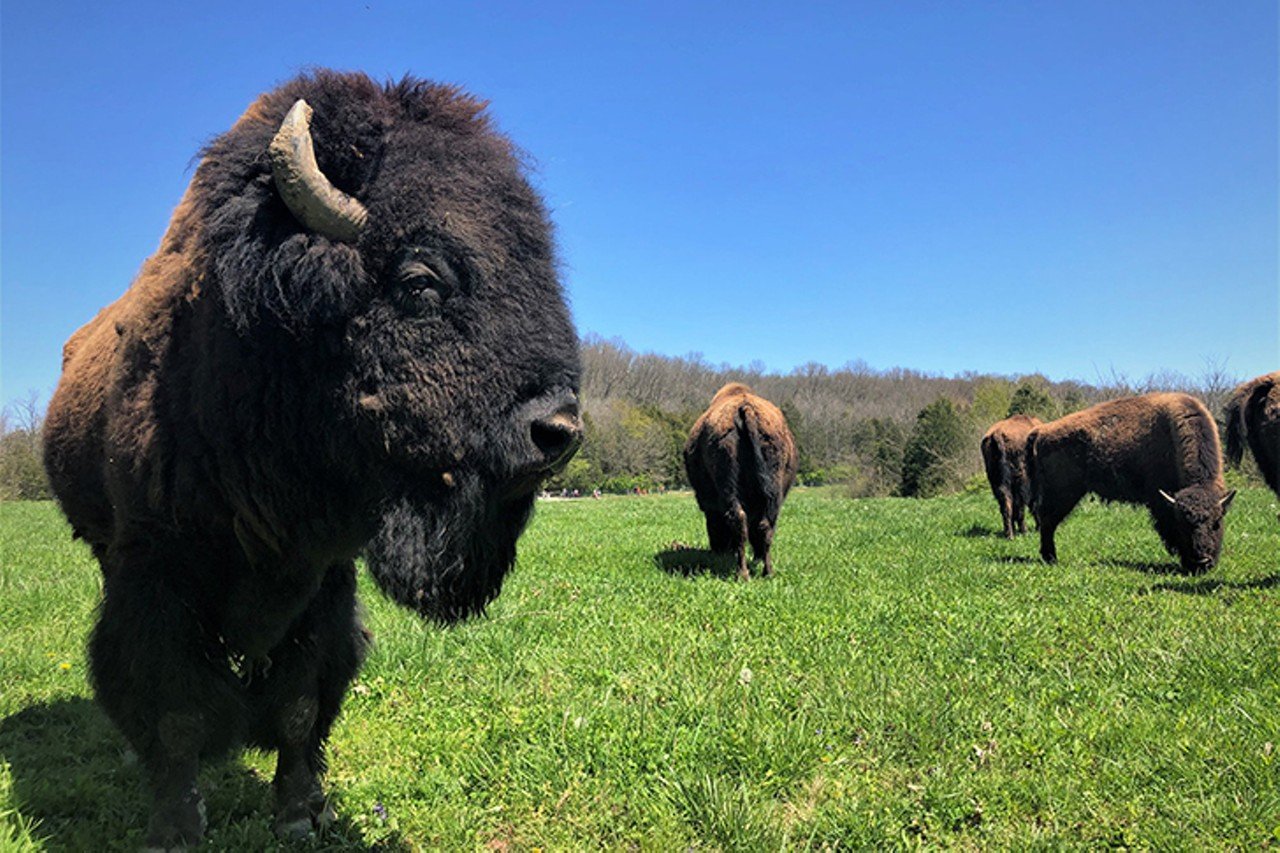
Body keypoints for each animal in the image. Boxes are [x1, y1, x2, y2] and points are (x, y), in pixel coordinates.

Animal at [40, 69, 581, 845]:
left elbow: (299, 707)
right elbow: (176, 712)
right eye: (420, 280)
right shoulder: (154, 572)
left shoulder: (323, 582)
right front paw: (176, 828)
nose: (557, 429)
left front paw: (299, 815)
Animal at [686, 384, 793, 578]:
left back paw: (755, 572)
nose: (718, 549)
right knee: (752, 523)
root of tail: (746, 409)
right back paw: (754, 573)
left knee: (752, 523)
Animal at [1024, 391, 1233, 571]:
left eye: (1217, 523)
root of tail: (1041, 430)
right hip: (1063, 493)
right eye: (1182, 524)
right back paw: (1051, 558)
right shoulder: (1160, 502)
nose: (1202, 562)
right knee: (1048, 521)